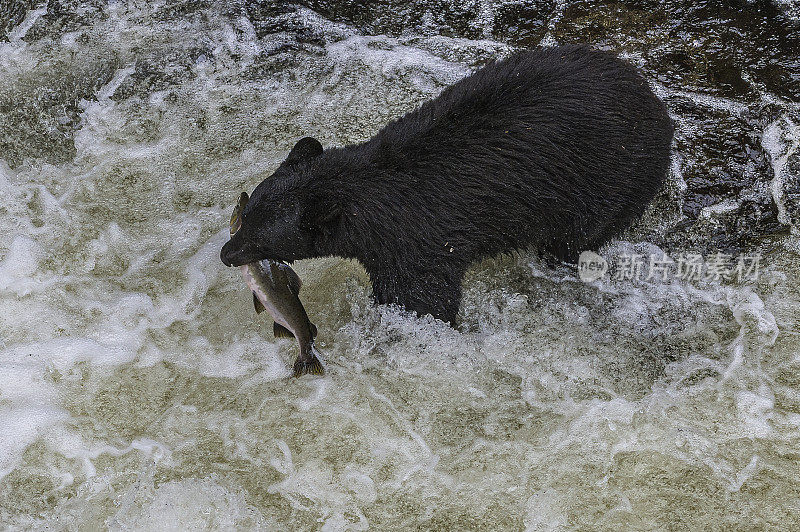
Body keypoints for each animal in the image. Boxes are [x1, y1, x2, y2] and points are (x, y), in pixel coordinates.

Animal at [220, 44, 676, 324]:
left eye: (258, 231)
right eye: (247, 214)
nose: (226, 253)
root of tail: (656, 103)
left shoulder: (419, 243)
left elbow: (423, 299)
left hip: (611, 176)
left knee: (575, 237)